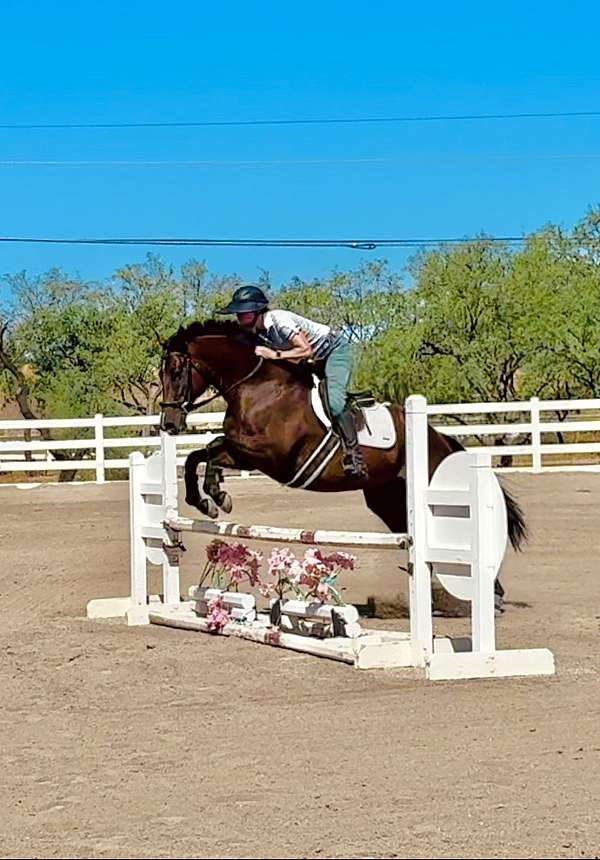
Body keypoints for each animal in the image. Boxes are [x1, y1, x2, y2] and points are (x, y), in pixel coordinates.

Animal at [159, 320, 527, 610]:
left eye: (176, 372)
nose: (168, 425)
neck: (258, 386)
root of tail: (439, 437)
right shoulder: (241, 448)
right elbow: (199, 455)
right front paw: (208, 499)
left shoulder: (267, 456)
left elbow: (210, 454)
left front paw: (216, 497)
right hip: (387, 498)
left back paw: (490, 593)